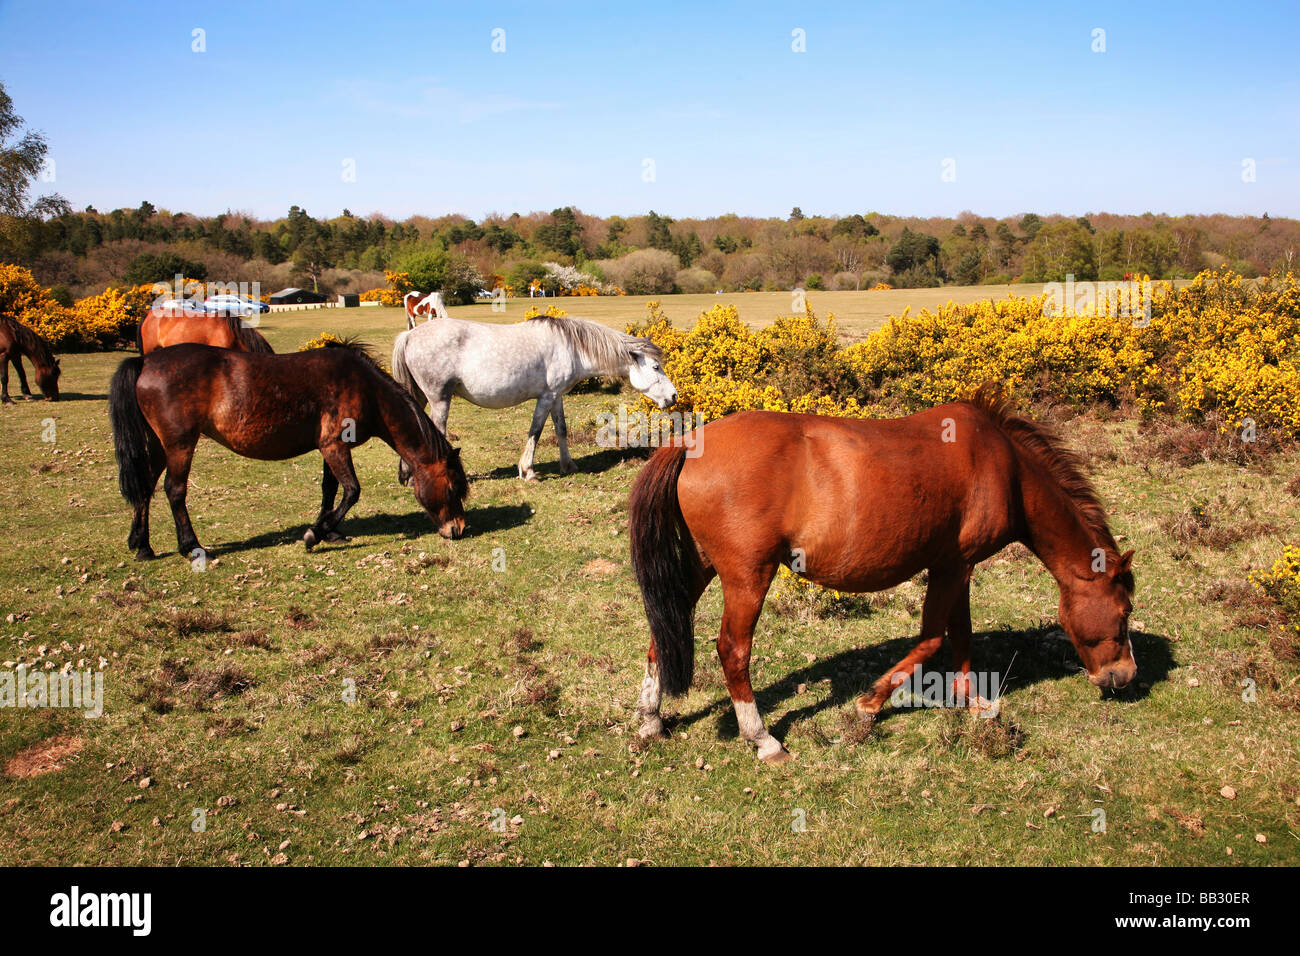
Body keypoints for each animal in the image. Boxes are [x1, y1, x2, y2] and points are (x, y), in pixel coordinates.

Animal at [108, 340, 469, 563]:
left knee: (146, 487)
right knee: (174, 490)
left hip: (160, 446)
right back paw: (191, 545)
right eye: (453, 487)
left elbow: (330, 489)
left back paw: (142, 545)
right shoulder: (334, 445)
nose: (458, 530)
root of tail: (145, 361)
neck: (365, 389)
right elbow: (351, 491)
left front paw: (330, 530)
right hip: (180, 444)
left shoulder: (330, 448)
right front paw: (314, 534)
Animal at [392, 312, 677, 480]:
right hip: (439, 399)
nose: (673, 396)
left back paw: (407, 473)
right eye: (655, 367)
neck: (571, 347)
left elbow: (561, 429)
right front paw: (528, 470)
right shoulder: (546, 397)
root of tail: (409, 335)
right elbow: (535, 431)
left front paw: (568, 466)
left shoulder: (557, 397)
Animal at [627, 386, 1137, 764]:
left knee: (663, 630)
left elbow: (962, 635)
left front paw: (972, 701)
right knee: (733, 650)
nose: (1124, 675)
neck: (1004, 467)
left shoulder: (957, 565)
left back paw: (651, 720)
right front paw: (869, 704)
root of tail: (690, 443)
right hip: (747, 575)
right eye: (1124, 611)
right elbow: (932, 639)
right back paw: (762, 739)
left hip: (702, 567)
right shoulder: (953, 566)